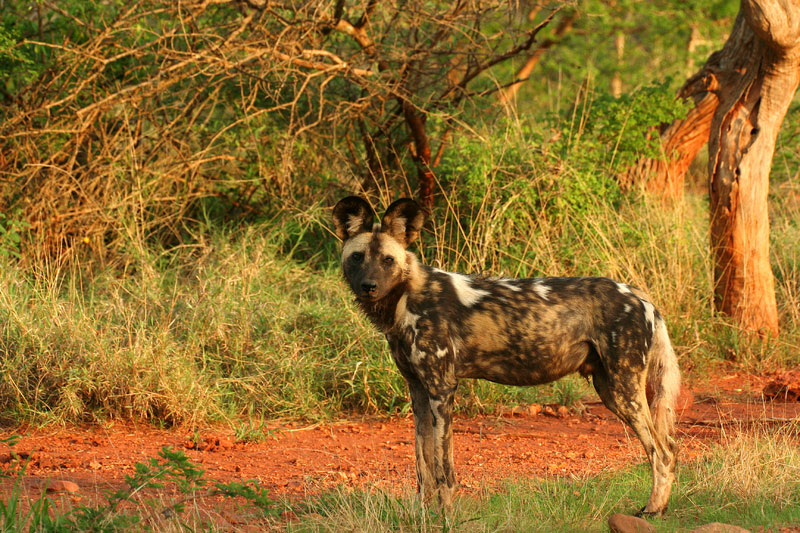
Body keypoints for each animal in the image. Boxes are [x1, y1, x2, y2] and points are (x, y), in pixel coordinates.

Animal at [332, 195, 680, 516]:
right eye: (358, 257)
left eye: (388, 260)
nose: (369, 286)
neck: (406, 300)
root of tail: (638, 295)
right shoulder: (418, 391)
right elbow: (424, 466)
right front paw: (422, 513)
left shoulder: (442, 390)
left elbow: (444, 470)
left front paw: (445, 516)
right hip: (609, 390)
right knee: (667, 448)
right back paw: (658, 507)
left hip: (624, 391)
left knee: (662, 452)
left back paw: (653, 511)